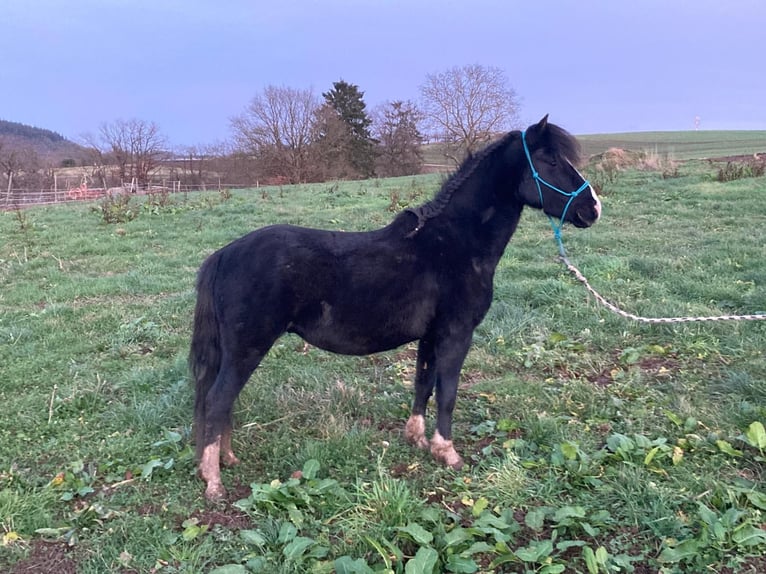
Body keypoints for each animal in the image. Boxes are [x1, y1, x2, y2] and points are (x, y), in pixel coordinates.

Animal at [189, 116, 604, 500]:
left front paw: (418, 440)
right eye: (551, 160)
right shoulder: (456, 334)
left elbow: (423, 385)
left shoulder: (431, 336)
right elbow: (448, 393)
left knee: (221, 401)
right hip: (248, 348)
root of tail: (224, 255)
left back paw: (227, 459)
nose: (593, 208)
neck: (454, 242)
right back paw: (214, 481)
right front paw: (448, 453)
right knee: (218, 400)